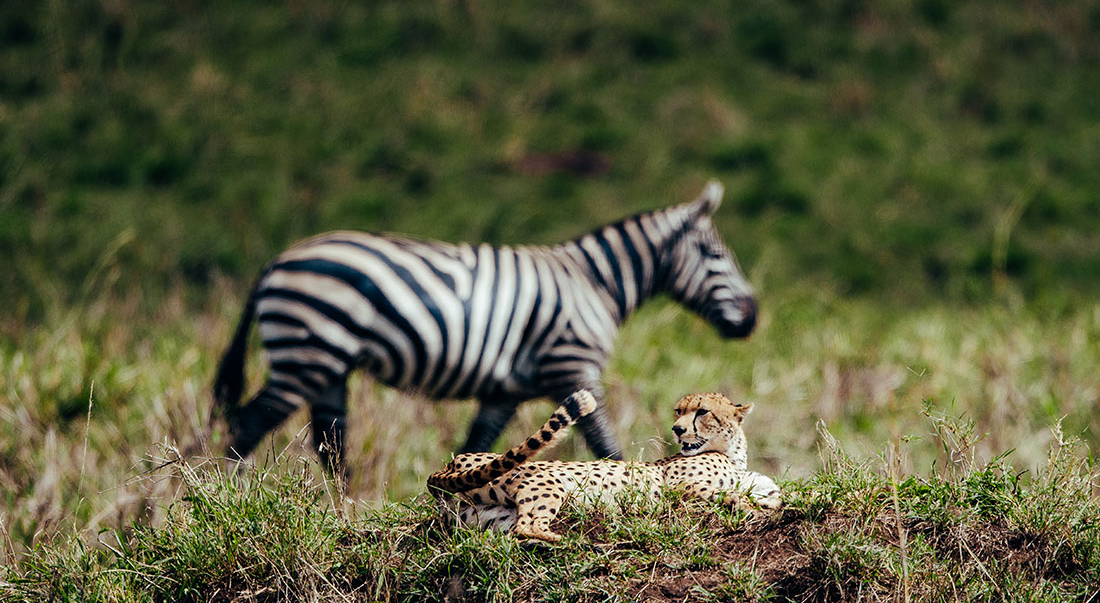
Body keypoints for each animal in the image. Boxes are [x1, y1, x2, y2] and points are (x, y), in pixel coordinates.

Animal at [213, 181, 756, 475]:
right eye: (714, 255)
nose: (752, 319)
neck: (594, 282)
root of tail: (275, 261)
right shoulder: (575, 365)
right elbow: (607, 444)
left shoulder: (504, 391)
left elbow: (477, 445)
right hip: (308, 351)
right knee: (247, 426)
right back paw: (223, 498)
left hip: (328, 366)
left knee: (331, 447)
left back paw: (340, 512)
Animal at [428, 390, 781, 542]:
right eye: (678, 411)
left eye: (702, 411)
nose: (677, 430)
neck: (732, 453)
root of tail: (451, 463)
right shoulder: (680, 488)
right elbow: (728, 494)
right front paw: (747, 505)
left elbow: (771, 491)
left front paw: (765, 502)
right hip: (546, 480)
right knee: (527, 525)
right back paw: (567, 540)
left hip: (490, 517)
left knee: (515, 531)